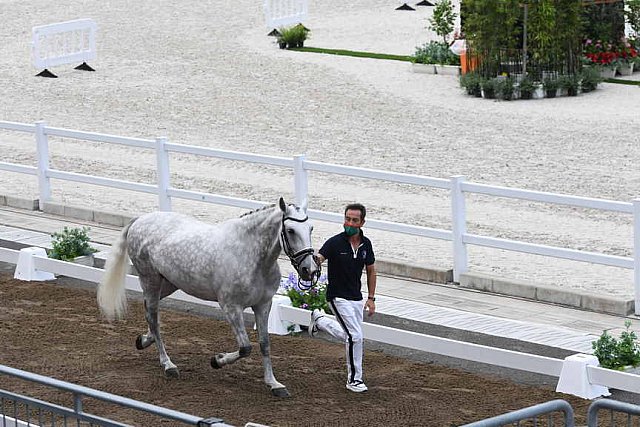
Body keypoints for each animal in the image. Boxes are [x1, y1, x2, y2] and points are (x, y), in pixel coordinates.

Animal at [97, 198, 318, 398]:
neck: (251, 256)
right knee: (153, 317)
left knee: (150, 315)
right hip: (150, 280)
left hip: (168, 283)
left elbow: (264, 344)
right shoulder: (231, 307)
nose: (309, 270)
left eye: (311, 228)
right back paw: (168, 365)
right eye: (291, 230)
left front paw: (274, 384)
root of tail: (140, 219)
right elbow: (245, 347)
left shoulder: (263, 305)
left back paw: (144, 340)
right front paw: (217, 360)